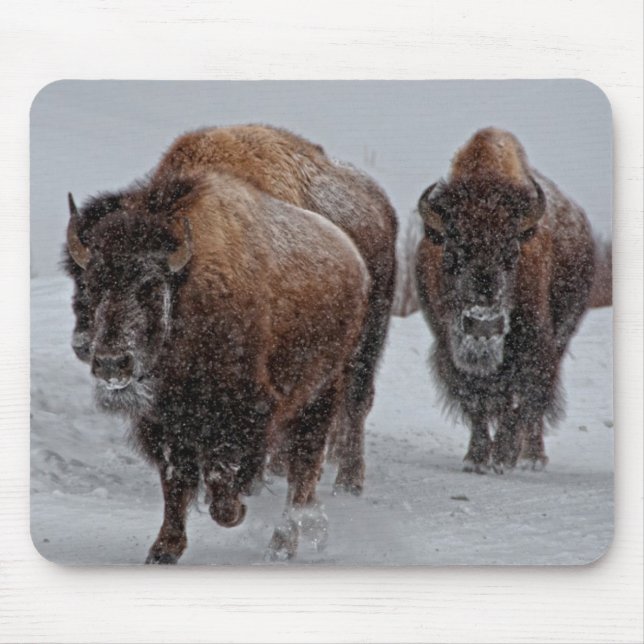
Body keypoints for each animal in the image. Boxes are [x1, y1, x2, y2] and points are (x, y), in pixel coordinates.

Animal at [65, 169, 370, 562]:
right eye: (90, 285)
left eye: (151, 286)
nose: (111, 363)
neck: (189, 289)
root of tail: (353, 259)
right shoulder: (165, 425)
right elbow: (175, 484)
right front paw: (163, 551)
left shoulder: (244, 415)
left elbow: (223, 483)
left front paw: (235, 510)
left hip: (319, 397)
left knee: (302, 473)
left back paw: (282, 546)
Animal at [415, 128, 596, 473]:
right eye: (451, 254)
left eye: (512, 253)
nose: (483, 326)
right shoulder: (448, 346)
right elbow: (475, 400)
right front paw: (476, 459)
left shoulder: (534, 345)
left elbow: (519, 400)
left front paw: (501, 458)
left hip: (561, 337)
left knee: (533, 405)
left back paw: (532, 457)